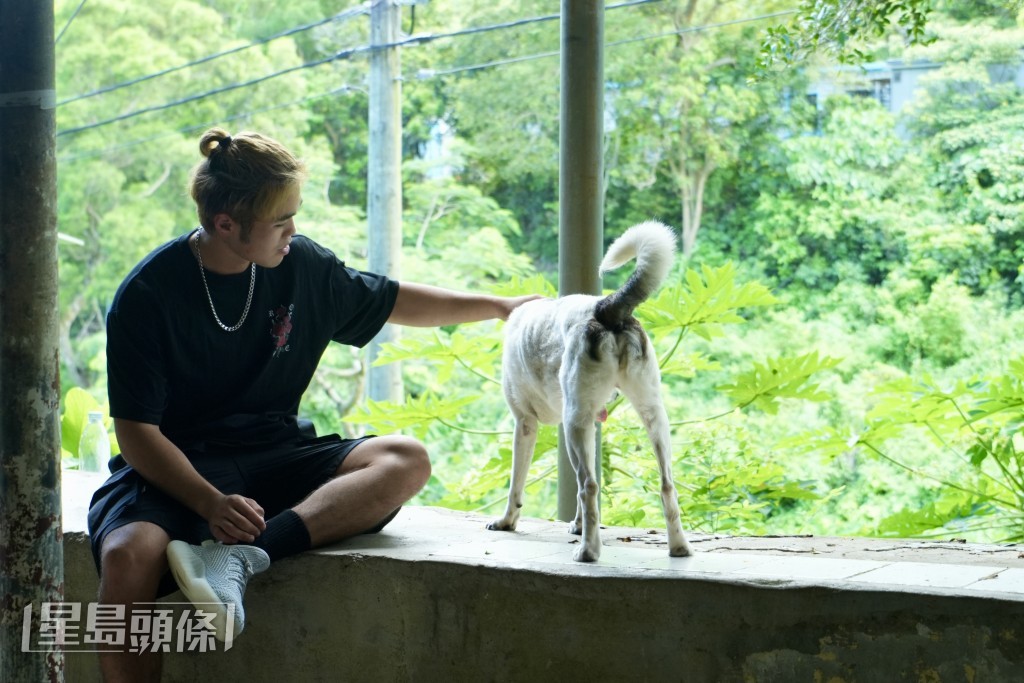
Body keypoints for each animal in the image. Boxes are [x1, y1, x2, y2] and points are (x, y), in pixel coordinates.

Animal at [485, 222, 688, 565]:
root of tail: (604, 307)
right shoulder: (591, 423)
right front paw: (578, 524)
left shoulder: (526, 424)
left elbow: (517, 483)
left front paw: (507, 522)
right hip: (651, 417)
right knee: (666, 484)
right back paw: (679, 547)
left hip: (574, 422)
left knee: (589, 486)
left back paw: (588, 551)